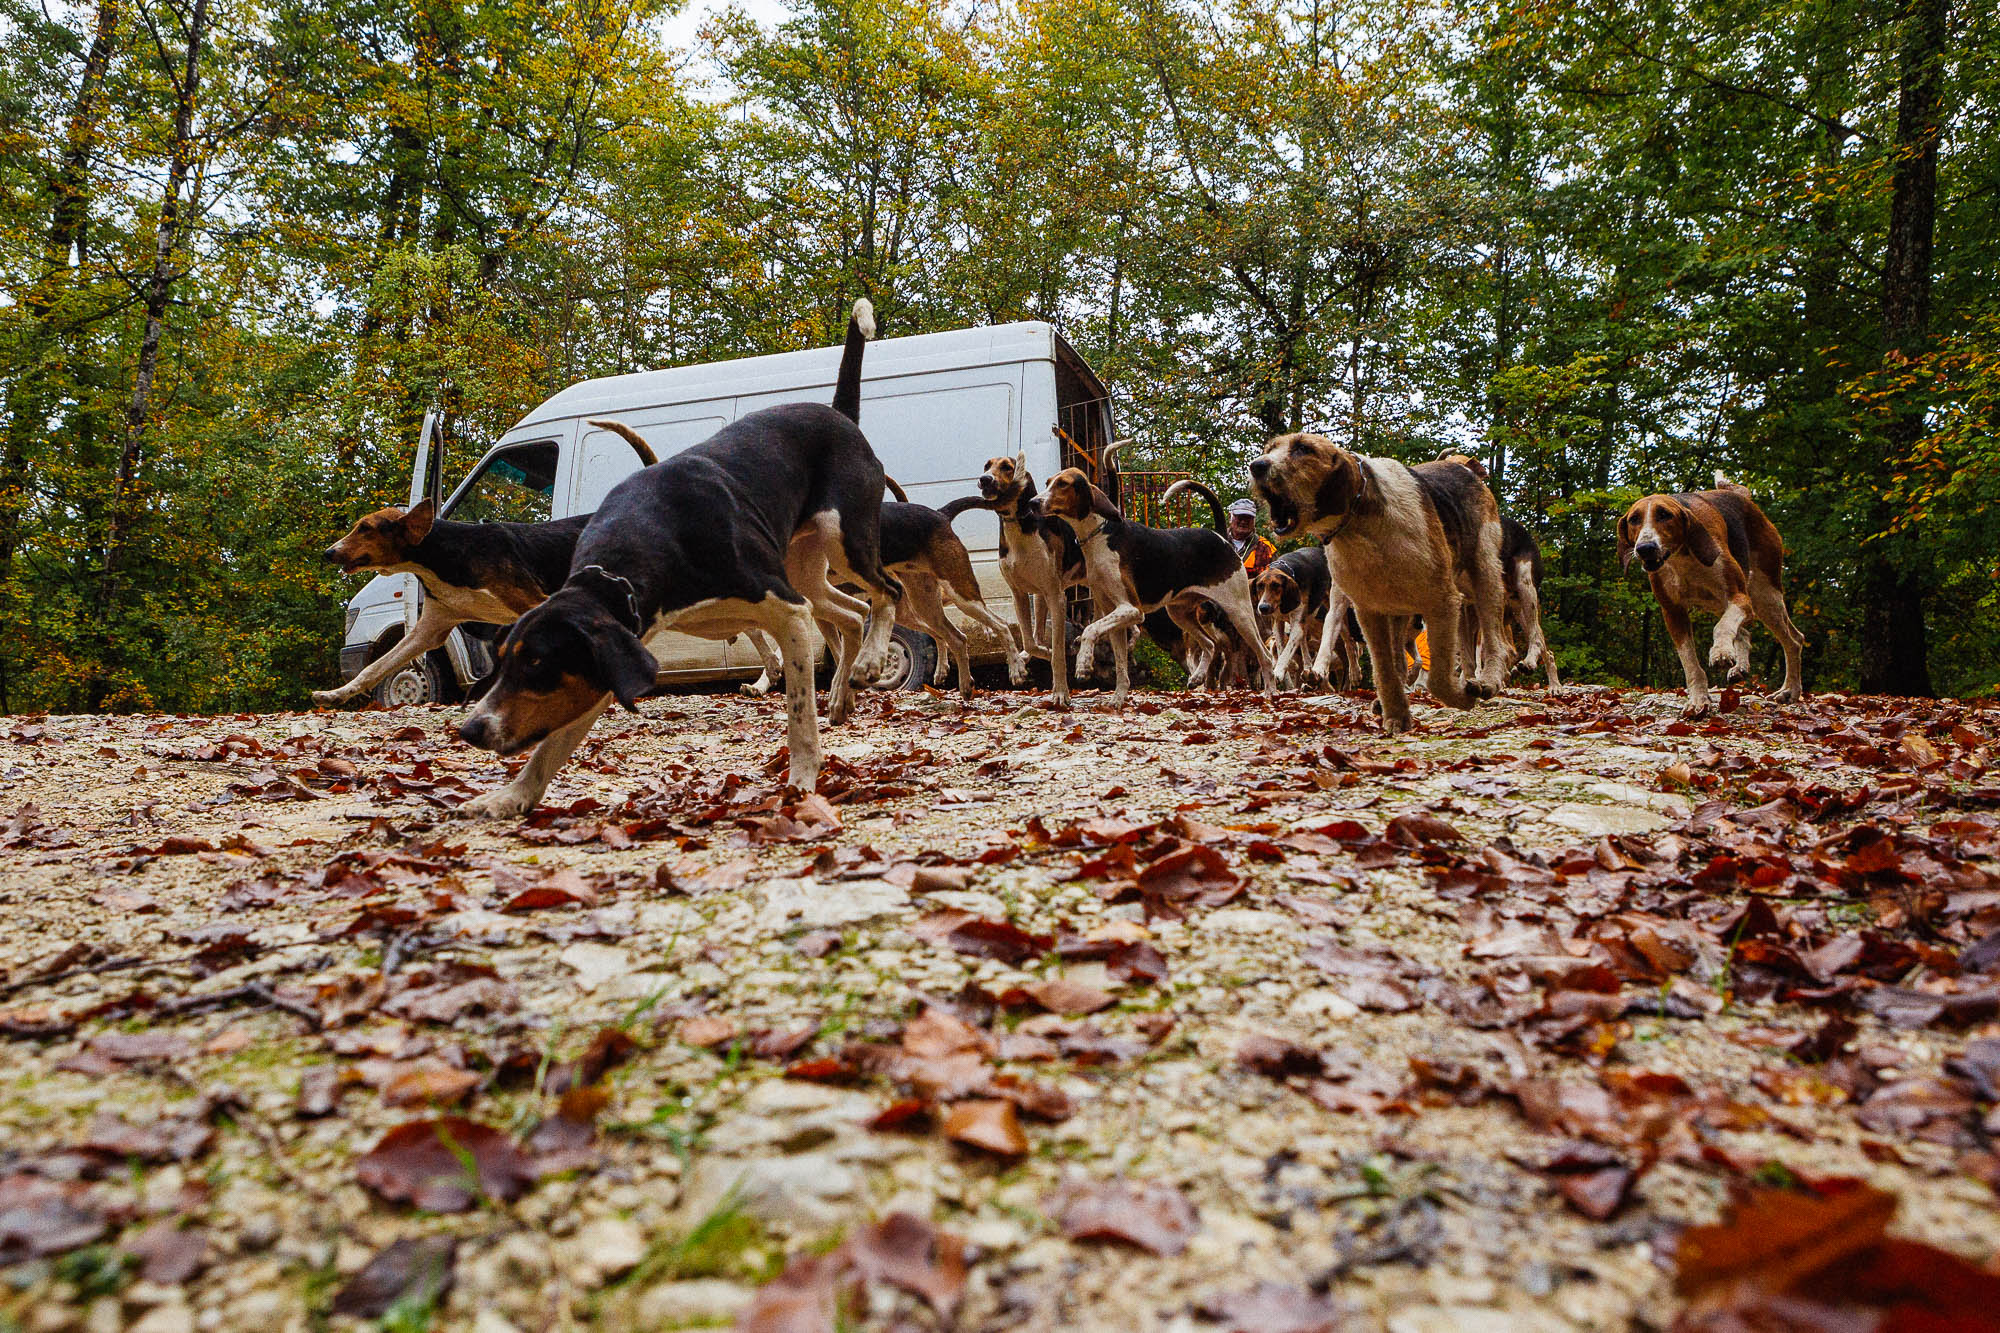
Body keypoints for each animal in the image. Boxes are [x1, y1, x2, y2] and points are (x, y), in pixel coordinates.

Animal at [454, 300, 900, 808]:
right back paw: (845, 691)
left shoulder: (788, 612)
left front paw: (803, 779)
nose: (470, 730)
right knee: (853, 613)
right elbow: (551, 747)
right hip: (806, 571)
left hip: (843, 540)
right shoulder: (620, 650)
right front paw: (511, 797)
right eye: (503, 659)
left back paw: (869, 661)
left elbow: (799, 716)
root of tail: (839, 415)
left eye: (537, 664)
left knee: (888, 592)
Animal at [1040, 470, 1272, 704]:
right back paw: (1197, 678)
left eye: (1063, 484)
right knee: (1210, 644)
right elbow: (1120, 665)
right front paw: (1118, 699)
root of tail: (1221, 537)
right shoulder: (1114, 614)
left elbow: (1089, 629)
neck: (1101, 534)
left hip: (1240, 615)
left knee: (1266, 656)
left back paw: (1271, 694)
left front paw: (1083, 665)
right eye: (1048, 483)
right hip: (1179, 613)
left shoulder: (1131, 609)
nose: (1034, 502)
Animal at [1248, 430, 1504, 732]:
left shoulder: (1443, 603)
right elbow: (1385, 669)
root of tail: (1460, 469)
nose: (1256, 466)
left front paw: (1462, 697)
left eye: (1303, 449)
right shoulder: (1369, 611)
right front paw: (1396, 715)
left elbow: (1438, 676)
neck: (1361, 528)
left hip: (1485, 576)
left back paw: (1489, 681)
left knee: (1495, 638)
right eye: (1269, 449)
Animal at [1616, 470, 1808, 712]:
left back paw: (1790, 690)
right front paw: (1699, 699)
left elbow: (1721, 627)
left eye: (1664, 515)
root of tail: (1742, 497)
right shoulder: (1673, 613)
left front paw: (1721, 652)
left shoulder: (1739, 598)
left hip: (1765, 596)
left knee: (1794, 640)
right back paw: (1741, 668)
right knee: (1745, 633)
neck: (1681, 559)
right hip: (1723, 603)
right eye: (1634, 519)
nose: (1645, 548)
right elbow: (1690, 661)